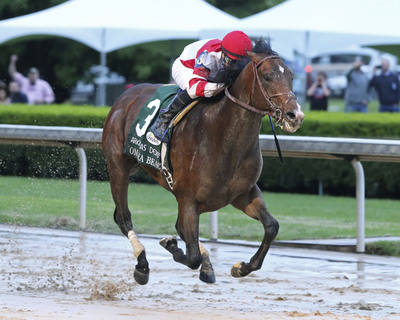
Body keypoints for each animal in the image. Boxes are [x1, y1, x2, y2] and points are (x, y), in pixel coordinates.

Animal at [102, 44, 304, 284]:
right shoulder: (188, 199)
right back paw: (142, 265)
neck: (222, 135)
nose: (295, 115)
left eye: (291, 76)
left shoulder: (242, 193)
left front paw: (241, 267)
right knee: (123, 217)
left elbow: (272, 226)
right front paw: (172, 245)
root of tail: (126, 95)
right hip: (118, 167)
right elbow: (192, 256)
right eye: (267, 76)